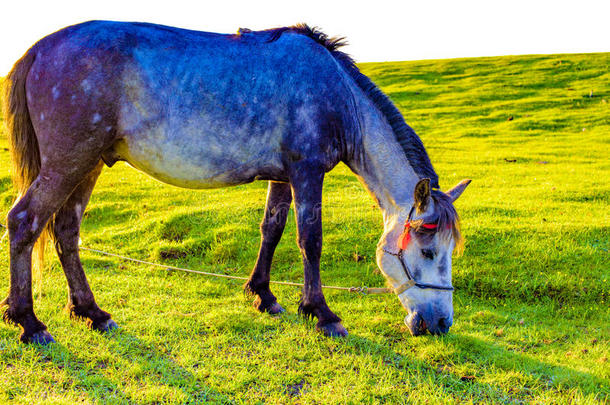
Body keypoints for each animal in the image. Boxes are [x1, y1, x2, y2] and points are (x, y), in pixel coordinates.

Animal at [2, 21, 470, 344]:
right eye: (428, 250)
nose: (440, 324)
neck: (340, 97)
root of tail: (38, 49)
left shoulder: (284, 175)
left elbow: (272, 230)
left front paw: (263, 295)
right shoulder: (307, 171)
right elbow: (310, 239)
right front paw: (321, 312)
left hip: (88, 164)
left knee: (66, 231)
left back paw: (91, 312)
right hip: (69, 162)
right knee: (25, 222)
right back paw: (29, 322)